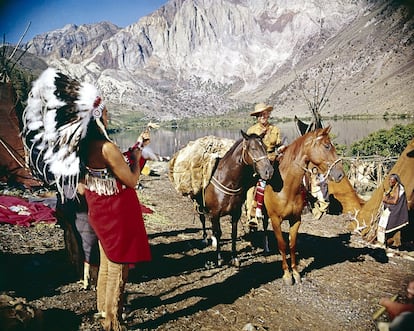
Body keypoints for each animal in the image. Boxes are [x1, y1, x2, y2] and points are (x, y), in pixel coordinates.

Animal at [195, 131, 274, 268]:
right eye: (253, 148)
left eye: (265, 147)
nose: (268, 171)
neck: (227, 180)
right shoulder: (215, 212)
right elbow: (218, 233)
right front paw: (219, 259)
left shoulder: (235, 213)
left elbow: (233, 233)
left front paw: (234, 258)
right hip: (200, 204)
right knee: (203, 219)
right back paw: (205, 239)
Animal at [264, 127, 344, 286]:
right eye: (327, 146)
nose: (340, 174)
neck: (285, 187)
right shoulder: (275, 220)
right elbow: (282, 245)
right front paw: (287, 275)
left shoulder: (296, 219)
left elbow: (292, 245)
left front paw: (295, 273)